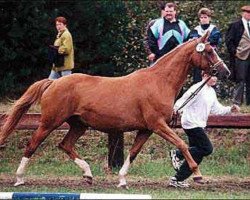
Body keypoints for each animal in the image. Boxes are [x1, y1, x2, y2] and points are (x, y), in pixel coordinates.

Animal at [0, 32, 229, 187]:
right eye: (209, 51)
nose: (225, 71)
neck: (159, 82)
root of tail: (53, 82)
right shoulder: (158, 125)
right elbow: (181, 144)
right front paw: (198, 174)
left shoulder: (146, 129)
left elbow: (134, 153)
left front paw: (122, 180)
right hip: (49, 122)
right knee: (32, 145)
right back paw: (19, 179)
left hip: (79, 125)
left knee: (65, 145)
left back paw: (88, 174)